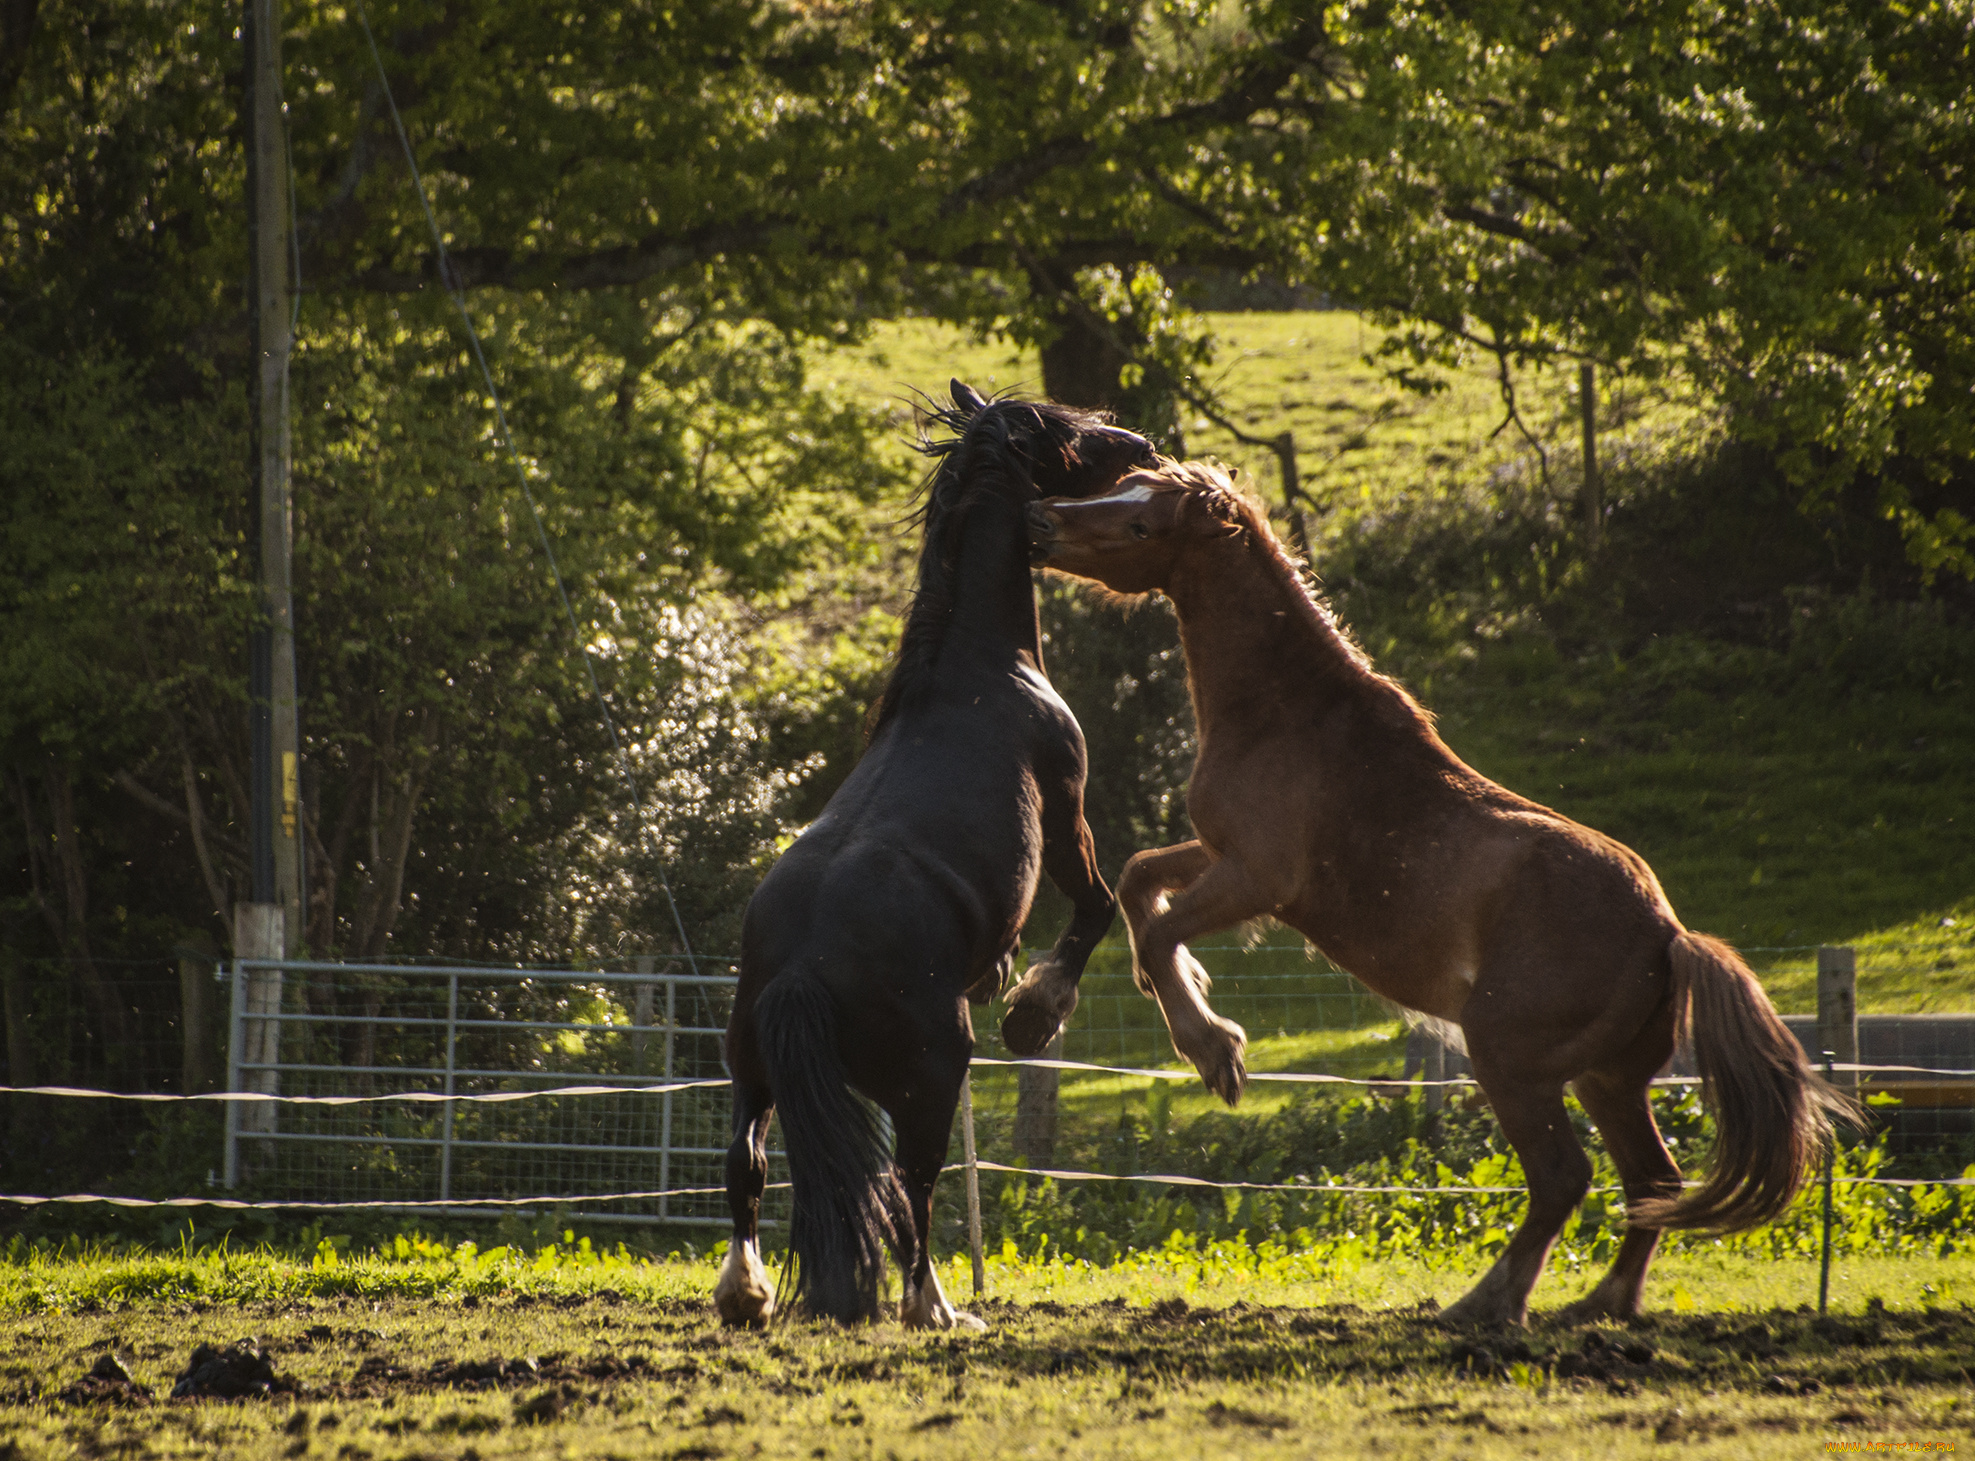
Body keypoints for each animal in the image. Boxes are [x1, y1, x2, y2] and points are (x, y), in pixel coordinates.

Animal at [718, 383, 1153, 1326]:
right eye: (1068, 432)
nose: (1139, 441)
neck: (978, 667)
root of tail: (801, 966)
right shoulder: (1067, 813)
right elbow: (1098, 906)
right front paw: (1033, 1011)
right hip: (930, 1072)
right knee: (910, 1183)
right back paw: (937, 1306)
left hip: (750, 1069)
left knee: (748, 1166)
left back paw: (746, 1293)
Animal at [1027, 461, 1856, 1326]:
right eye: (1124, 483)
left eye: (1141, 524)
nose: (1041, 518)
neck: (1287, 712)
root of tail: (1668, 935)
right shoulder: (1220, 856)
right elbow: (1138, 879)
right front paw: (1122, 994)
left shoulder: (1257, 875)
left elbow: (1158, 926)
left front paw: (1214, 1050)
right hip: (1606, 1080)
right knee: (1649, 1182)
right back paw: (1598, 1302)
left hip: (1509, 1060)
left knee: (1564, 1177)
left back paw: (1488, 1301)